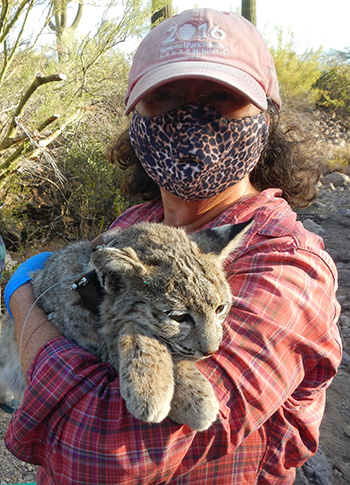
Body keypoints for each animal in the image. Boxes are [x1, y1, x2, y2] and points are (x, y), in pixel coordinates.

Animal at [0, 221, 252, 430]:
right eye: (179, 318)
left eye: (220, 309)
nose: (211, 351)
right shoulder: (64, 324)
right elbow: (126, 336)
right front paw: (159, 388)